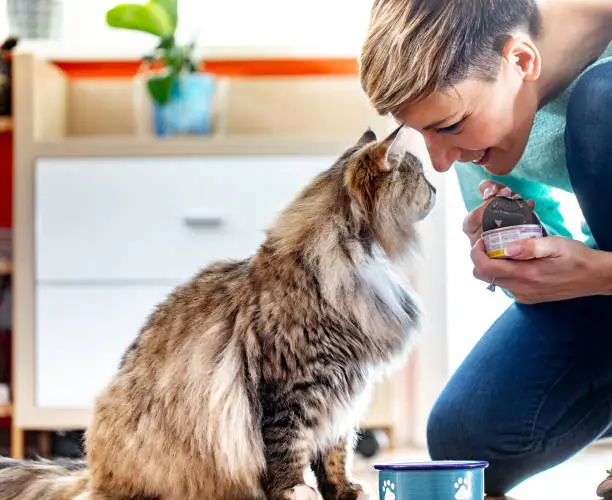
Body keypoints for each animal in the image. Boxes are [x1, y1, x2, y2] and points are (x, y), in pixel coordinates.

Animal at [0, 125, 436, 500]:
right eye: (420, 176)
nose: (435, 188)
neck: (355, 262)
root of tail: (90, 473)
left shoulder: (342, 393)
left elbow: (335, 454)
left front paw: (344, 491)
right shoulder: (291, 391)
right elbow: (287, 451)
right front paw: (295, 490)